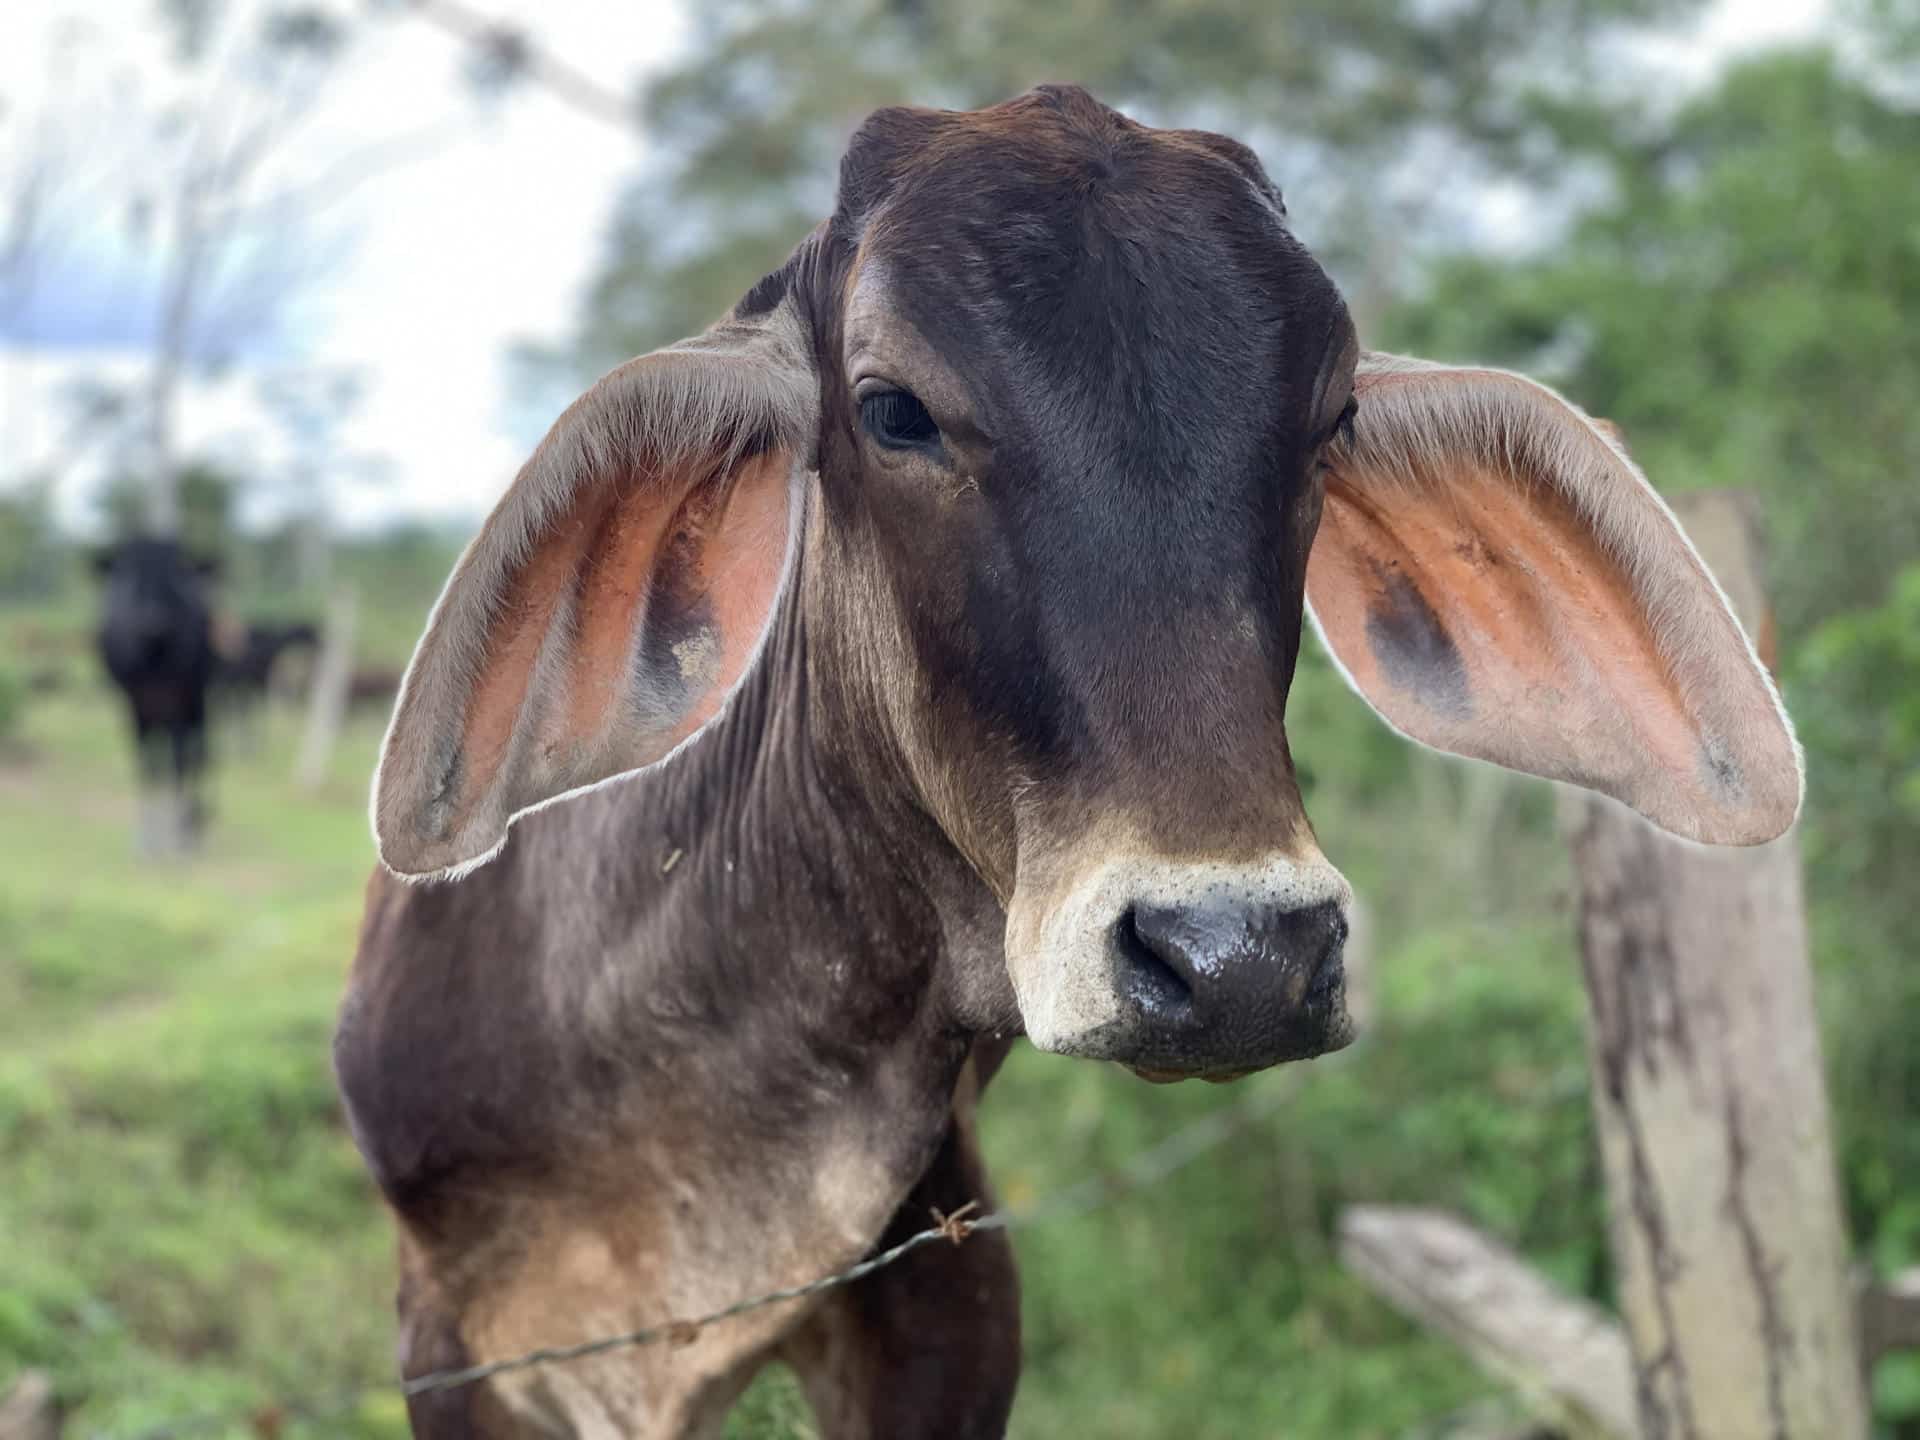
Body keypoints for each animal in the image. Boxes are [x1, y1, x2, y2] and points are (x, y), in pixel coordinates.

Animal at [94, 541, 218, 856]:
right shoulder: (134, 706)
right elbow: (146, 769)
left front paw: (179, 840)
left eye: (174, 578)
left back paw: (194, 821)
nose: (153, 619)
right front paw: (147, 842)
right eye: (132, 579)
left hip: (195, 702)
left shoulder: (180, 701)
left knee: (197, 753)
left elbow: (179, 764)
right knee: (161, 761)